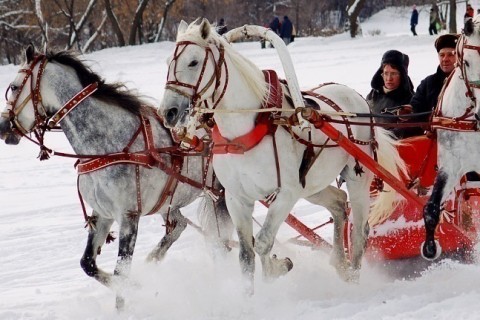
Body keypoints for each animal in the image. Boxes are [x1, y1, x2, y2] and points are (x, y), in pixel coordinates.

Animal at [0, 44, 232, 308]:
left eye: (14, 87)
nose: (3, 127)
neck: (110, 146)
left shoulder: (128, 216)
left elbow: (121, 273)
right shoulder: (102, 214)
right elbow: (88, 264)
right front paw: (140, 285)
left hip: (221, 194)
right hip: (169, 204)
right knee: (182, 226)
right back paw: (154, 259)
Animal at [157, 21, 404, 288]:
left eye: (193, 62)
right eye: (168, 61)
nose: (168, 112)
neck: (245, 131)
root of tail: (357, 99)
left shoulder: (286, 194)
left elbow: (263, 243)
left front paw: (276, 268)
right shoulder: (237, 199)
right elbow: (246, 255)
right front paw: (249, 294)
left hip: (357, 178)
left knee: (360, 231)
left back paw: (354, 278)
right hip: (312, 185)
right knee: (339, 203)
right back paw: (340, 263)